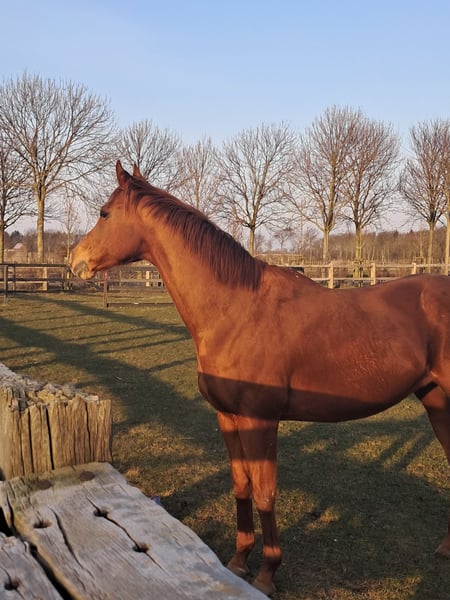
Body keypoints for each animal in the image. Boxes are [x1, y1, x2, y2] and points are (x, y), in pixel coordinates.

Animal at [70, 161, 450, 596]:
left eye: (104, 214)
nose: (74, 260)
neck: (234, 309)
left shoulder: (260, 420)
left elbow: (265, 493)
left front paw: (267, 573)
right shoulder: (228, 418)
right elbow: (241, 486)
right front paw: (238, 561)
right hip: (436, 402)